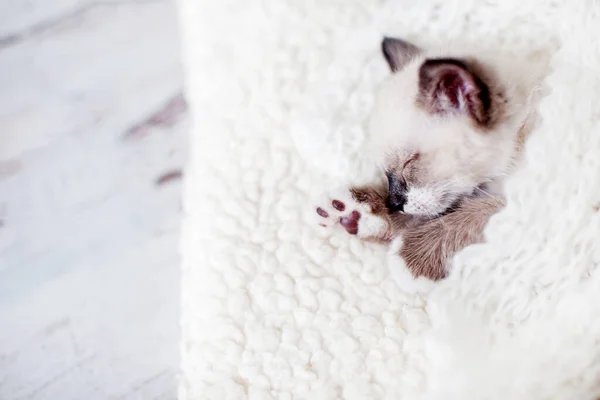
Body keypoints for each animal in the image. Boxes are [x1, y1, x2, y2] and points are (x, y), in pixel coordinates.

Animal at [316, 37, 548, 292]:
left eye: (409, 162)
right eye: (386, 173)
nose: (394, 203)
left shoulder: (531, 201)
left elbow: (481, 211)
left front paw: (412, 259)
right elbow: (454, 207)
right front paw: (360, 214)